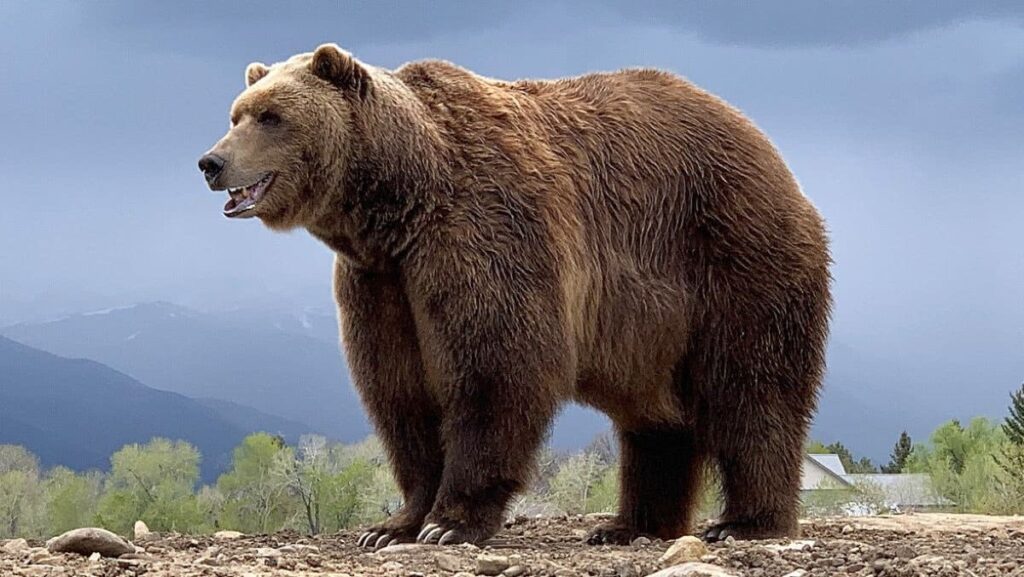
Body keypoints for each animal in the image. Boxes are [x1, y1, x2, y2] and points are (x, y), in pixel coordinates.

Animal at [199, 43, 831, 548]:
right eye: (237, 113)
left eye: (272, 116)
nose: (211, 161)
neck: (399, 206)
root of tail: (766, 147)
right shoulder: (381, 283)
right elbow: (399, 391)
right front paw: (394, 524)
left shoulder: (485, 235)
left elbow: (496, 369)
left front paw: (450, 522)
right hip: (652, 331)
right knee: (656, 421)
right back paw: (629, 525)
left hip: (732, 259)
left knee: (752, 390)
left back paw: (746, 521)